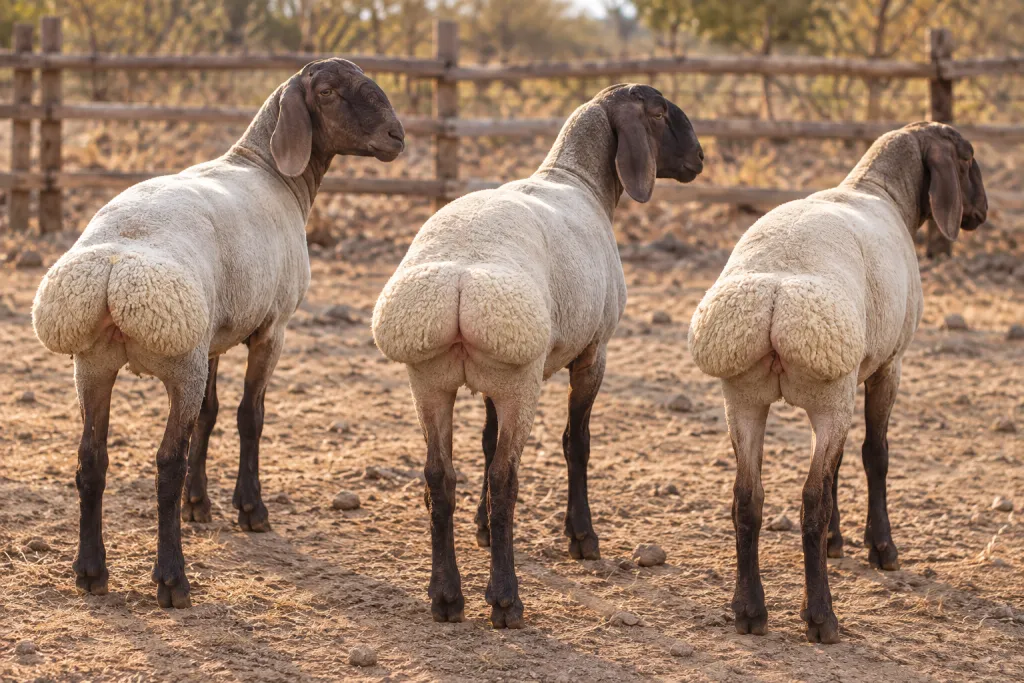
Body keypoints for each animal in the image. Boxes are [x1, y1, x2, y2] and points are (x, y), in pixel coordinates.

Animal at [31, 59, 405, 608]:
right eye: (329, 91)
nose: (397, 136)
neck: (269, 170)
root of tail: (114, 272)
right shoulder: (272, 328)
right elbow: (250, 416)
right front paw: (251, 510)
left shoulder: (215, 337)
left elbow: (209, 415)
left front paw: (200, 504)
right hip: (177, 358)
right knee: (166, 463)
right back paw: (172, 580)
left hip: (94, 364)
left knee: (90, 460)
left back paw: (91, 572)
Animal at [372, 84, 705, 628]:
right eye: (659, 113)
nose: (699, 158)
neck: (578, 179)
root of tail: (460, 282)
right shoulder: (594, 352)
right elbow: (577, 443)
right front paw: (582, 538)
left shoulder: (490, 378)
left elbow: (485, 444)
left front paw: (482, 530)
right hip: (520, 380)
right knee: (507, 481)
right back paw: (506, 600)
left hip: (433, 378)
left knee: (439, 478)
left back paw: (446, 597)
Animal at [687, 122, 987, 644]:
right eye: (967, 158)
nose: (983, 212)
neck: (879, 190)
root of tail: (774, 297)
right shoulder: (887, 366)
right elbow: (874, 456)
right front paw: (881, 549)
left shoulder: (845, 384)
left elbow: (839, 466)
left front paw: (837, 542)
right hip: (829, 394)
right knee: (811, 501)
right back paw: (822, 617)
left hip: (745, 395)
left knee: (748, 497)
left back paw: (749, 611)